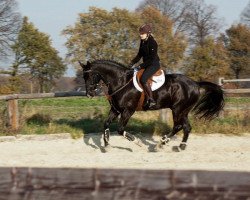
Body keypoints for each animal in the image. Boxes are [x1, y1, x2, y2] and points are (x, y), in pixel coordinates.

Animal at [78, 59, 225, 152]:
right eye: (84, 77)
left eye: (91, 75)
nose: (89, 94)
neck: (121, 82)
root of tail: (196, 84)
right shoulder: (115, 110)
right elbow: (106, 124)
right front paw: (107, 145)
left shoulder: (128, 111)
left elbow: (120, 129)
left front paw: (137, 142)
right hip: (183, 111)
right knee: (186, 127)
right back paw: (180, 147)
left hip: (178, 109)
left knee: (178, 126)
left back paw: (160, 144)